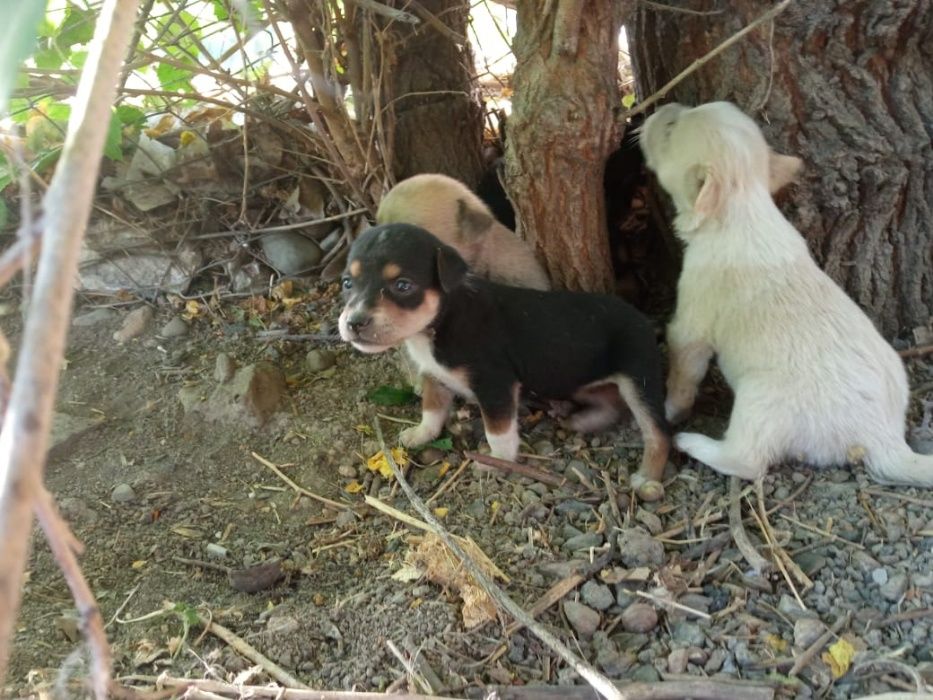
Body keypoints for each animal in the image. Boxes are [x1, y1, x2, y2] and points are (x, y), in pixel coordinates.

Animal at [340, 226, 668, 504]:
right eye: (346, 283)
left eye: (403, 285)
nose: (354, 323)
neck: (441, 322)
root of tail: (645, 320)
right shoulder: (434, 375)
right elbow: (432, 409)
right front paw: (420, 433)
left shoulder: (494, 384)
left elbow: (497, 431)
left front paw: (497, 462)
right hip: (581, 382)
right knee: (611, 404)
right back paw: (580, 421)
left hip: (640, 380)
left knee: (658, 433)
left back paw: (646, 478)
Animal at [640, 101, 932, 486]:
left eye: (671, 128)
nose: (662, 106)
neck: (745, 211)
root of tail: (883, 438)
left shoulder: (691, 327)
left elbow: (683, 374)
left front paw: (670, 410)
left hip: (760, 400)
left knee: (747, 460)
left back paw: (693, 442)